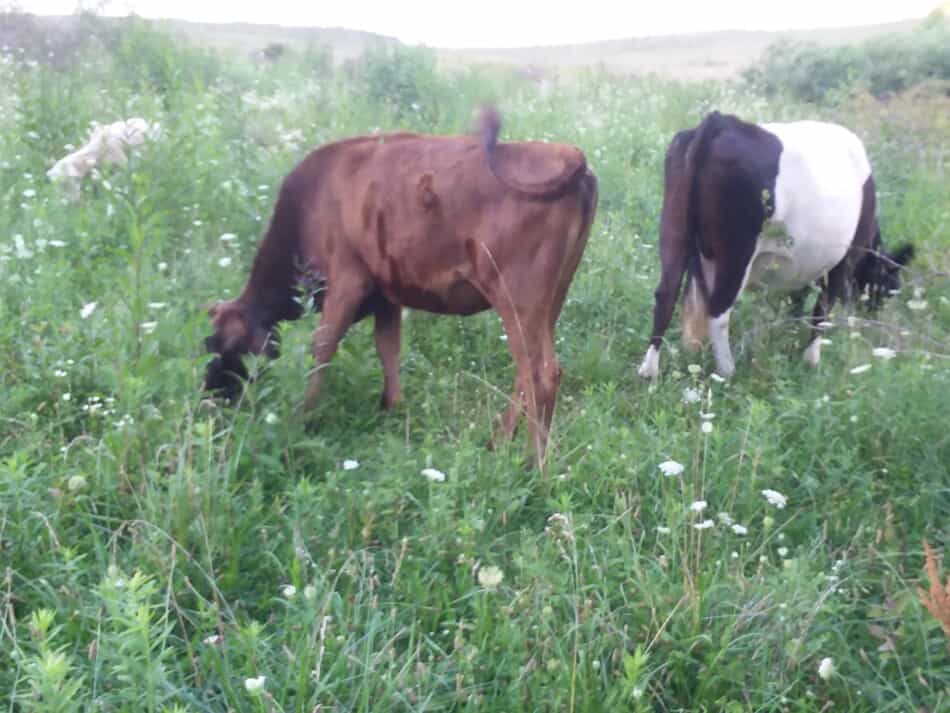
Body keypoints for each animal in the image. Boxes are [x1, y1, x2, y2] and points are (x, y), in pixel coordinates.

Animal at [205, 108, 600, 464]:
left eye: (226, 346)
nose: (211, 400)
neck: (309, 204)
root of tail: (568, 154)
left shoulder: (348, 279)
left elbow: (323, 347)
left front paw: (303, 416)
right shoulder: (386, 294)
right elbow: (388, 348)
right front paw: (394, 408)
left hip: (516, 295)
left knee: (541, 373)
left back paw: (535, 466)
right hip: (550, 299)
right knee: (527, 372)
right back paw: (499, 445)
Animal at [640, 111, 916, 378]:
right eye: (890, 284)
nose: (875, 317)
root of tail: (719, 122)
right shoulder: (844, 260)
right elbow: (822, 309)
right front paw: (810, 361)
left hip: (675, 230)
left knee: (667, 294)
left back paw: (649, 371)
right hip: (737, 251)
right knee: (718, 309)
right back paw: (727, 371)